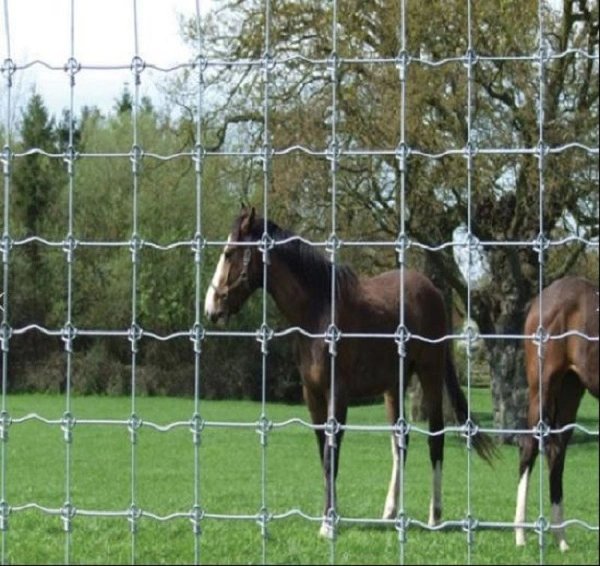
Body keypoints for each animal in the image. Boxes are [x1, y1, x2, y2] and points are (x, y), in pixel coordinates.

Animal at [205, 206, 496, 540]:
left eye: (229, 253)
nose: (211, 308)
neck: (318, 313)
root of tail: (433, 291)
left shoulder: (338, 393)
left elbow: (332, 455)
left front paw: (329, 524)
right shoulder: (312, 395)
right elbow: (323, 452)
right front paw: (329, 516)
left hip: (430, 374)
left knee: (436, 438)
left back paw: (435, 516)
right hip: (394, 387)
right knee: (401, 441)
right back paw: (390, 511)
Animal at [512, 278, 596, 552]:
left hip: (570, 389)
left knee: (556, 453)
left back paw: (561, 539)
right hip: (543, 388)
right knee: (529, 447)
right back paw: (520, 535)